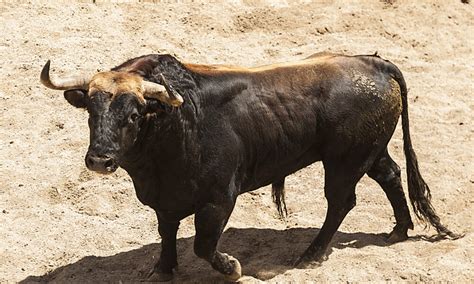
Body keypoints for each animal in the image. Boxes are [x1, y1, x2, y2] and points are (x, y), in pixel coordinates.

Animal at [39, 52, 460, 280]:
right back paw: (399, 230)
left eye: (134, 114)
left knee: (341, 201)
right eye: (91, 111)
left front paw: (232, 268)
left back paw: (311, 254)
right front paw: (162, 269)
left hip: (344, 161)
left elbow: (204, 245)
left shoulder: (218, 199)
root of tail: (374, 62)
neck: (177, 124)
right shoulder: (165, 197)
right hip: (370, 151)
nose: (100, 160)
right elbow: (167, 231)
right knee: (389, 175)